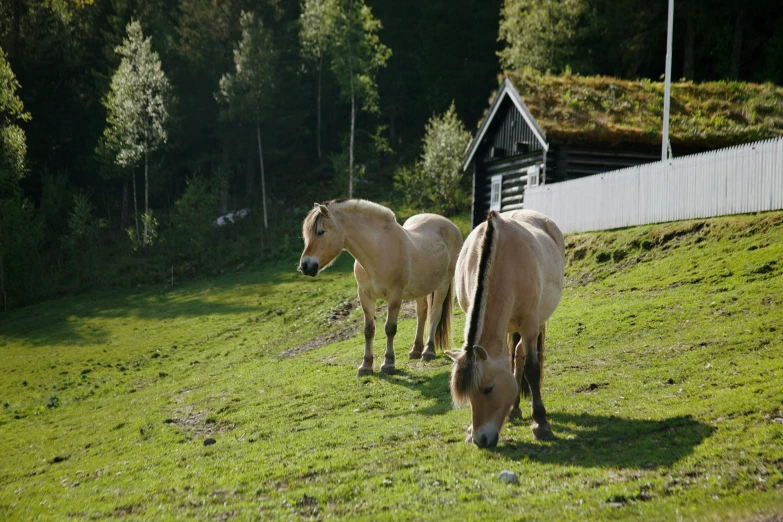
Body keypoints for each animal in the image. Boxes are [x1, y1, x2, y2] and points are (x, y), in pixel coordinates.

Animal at [298, 198, 462, 374]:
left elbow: (390, 328)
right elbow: (368, 330)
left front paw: (388, 363)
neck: (379, 251)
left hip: (443, 284)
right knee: (422, 314)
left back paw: (428, 351)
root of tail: (449, 224)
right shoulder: (365, 296)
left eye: (321, 232)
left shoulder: (395, 296)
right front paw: (365, 366)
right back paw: (416, 350)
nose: (305, 266)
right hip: (421, 289)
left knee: (435, 313)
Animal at [448, 209, 564, 444]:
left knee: (521, 357)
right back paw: (514, 410)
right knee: (516, 357)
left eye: (488, 389)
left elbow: (532, 369)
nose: (480, 439)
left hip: (535, 324)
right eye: (469, 395)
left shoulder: (530, 324)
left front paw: (541, 423)